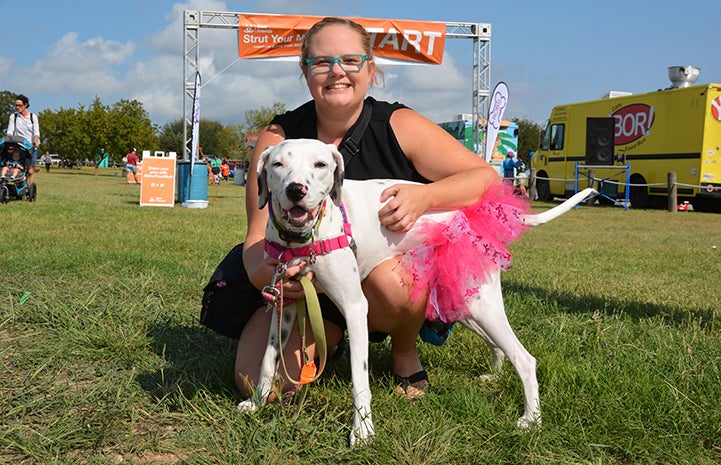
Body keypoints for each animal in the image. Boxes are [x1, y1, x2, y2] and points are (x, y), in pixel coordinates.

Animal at [239, 139, 592, 446]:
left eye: (320, 164)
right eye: (278, 164)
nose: (295, 190)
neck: (303, 238)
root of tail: (467, 211)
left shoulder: (355, 307)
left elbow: (359, 380)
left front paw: (363, 431)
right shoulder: (285, 304)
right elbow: (268, 361)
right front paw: (257, 402)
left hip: (482, 306)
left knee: (525, 359)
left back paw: (531, 419)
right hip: (468, 308)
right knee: (499, 346)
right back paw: (493, 377)